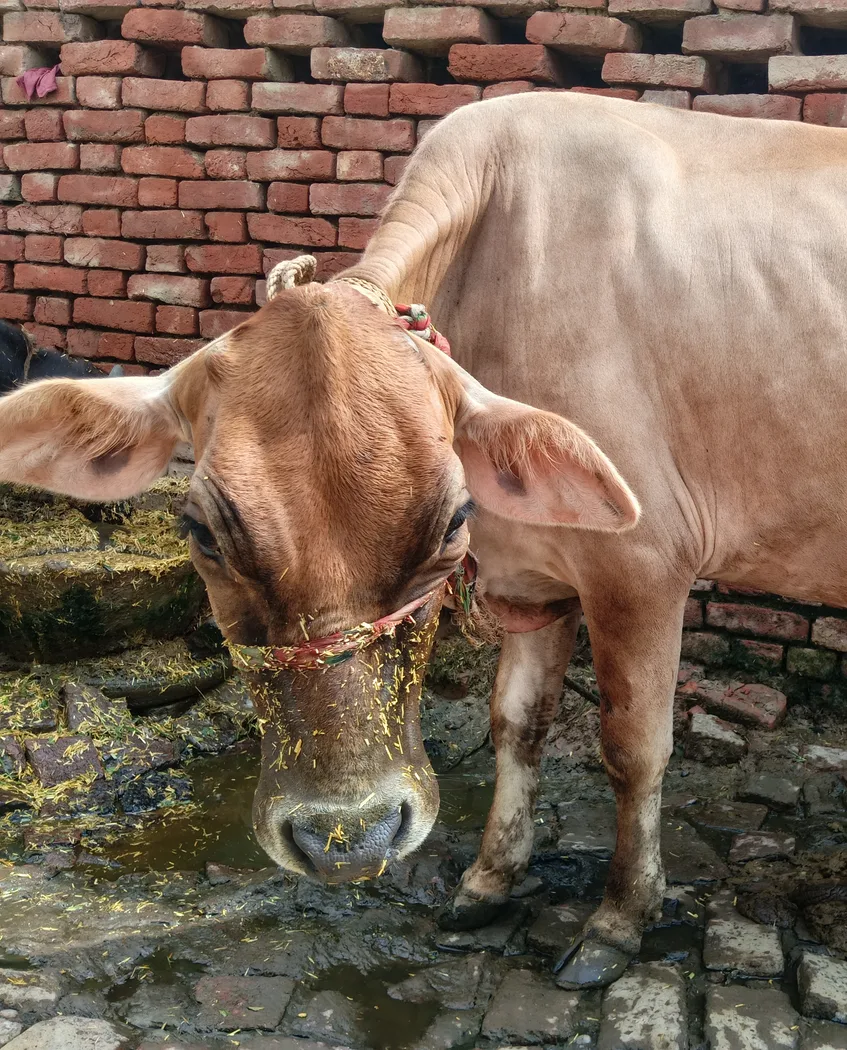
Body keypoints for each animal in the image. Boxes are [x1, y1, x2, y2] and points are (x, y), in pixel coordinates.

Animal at [0, 92, 843, 990]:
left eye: (450, 520)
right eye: (201, 531)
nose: (348, 838)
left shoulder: (643, 569)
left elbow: (633, 750)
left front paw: (619, 918)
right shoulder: (538, 577)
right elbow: (516, 724)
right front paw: (489, 881)